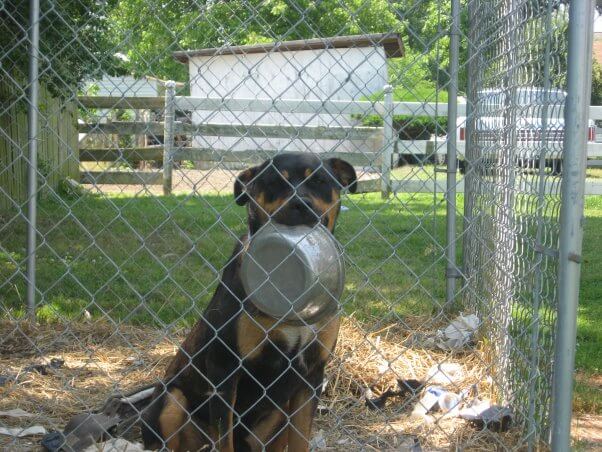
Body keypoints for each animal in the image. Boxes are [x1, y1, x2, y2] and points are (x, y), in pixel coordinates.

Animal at [141, 154, 356, 450]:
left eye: (320, 181)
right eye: (275, 181)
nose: (300, 204)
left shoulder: (311, 375)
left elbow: (300, 439)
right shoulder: (225, 369)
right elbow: (226, 441)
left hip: (277, 416)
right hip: (172, 399)